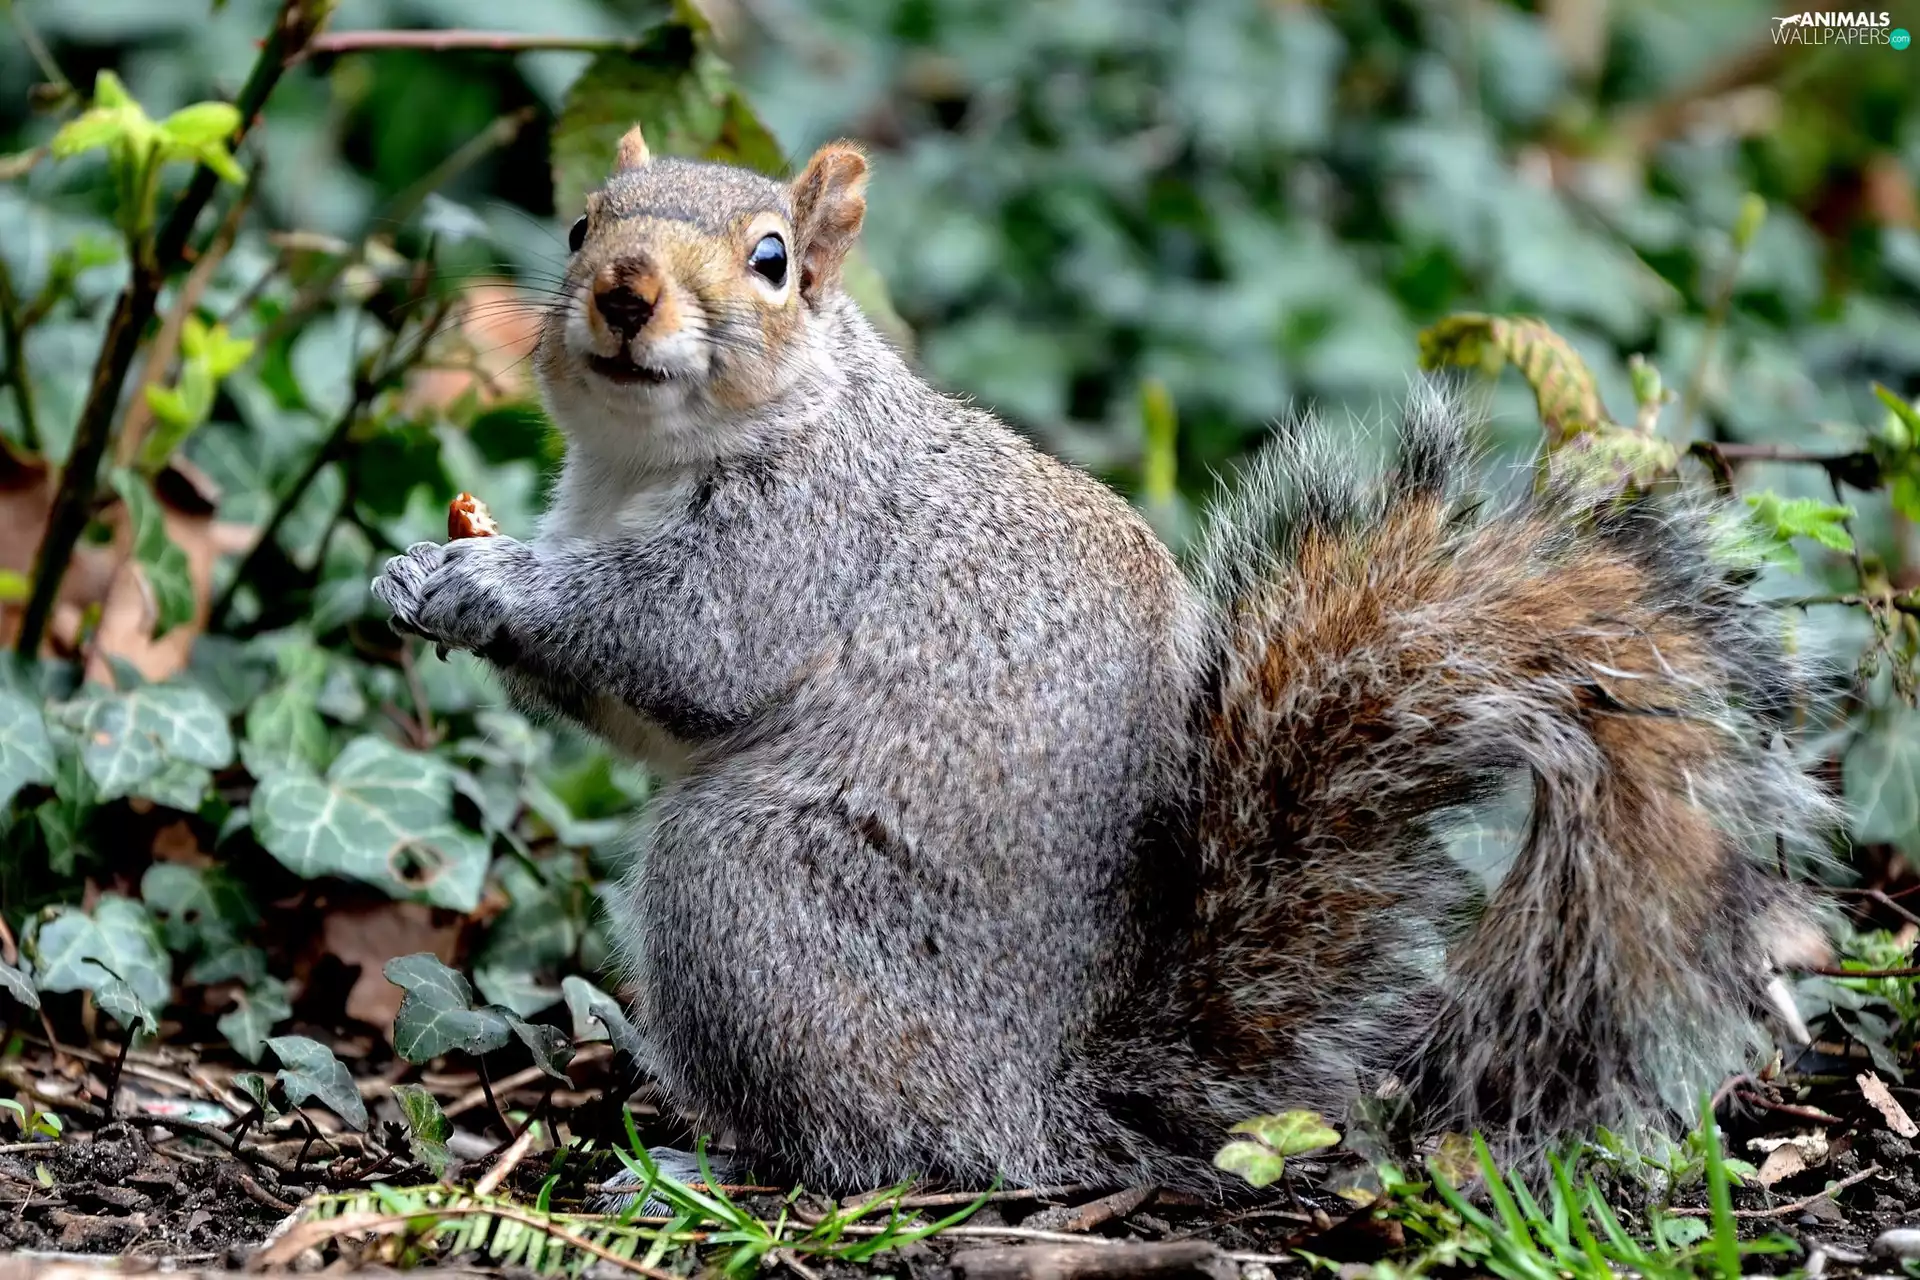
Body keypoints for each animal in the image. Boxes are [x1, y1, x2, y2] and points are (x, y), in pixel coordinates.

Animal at [372, 126, 1836, 1194]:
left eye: (774, 259)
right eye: (579, 224)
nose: (622, 290)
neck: (648, 462)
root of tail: (1049, 1099)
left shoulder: (801, 542)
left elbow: (687, 647)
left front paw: (486, 581)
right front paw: (412, 577)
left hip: (747, 896)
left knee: (876, 1146)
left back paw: (720, 1163)